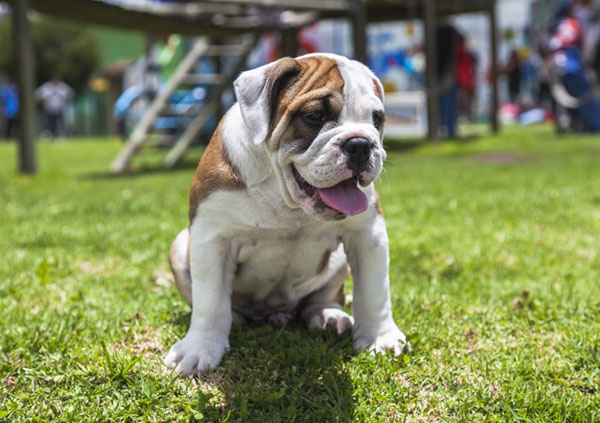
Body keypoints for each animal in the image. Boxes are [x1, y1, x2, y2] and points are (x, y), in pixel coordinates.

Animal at [163, 53, 408, 378]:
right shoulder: (211, 239)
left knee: (322, 297)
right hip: (180, 245)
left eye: (377, 119)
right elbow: (210, 301)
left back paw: (329, 315)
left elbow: (374, 291)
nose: (360, 144)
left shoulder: (367, 234)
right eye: (314, 115)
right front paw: (199, 349)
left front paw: (380, 337)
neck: (286, 200)